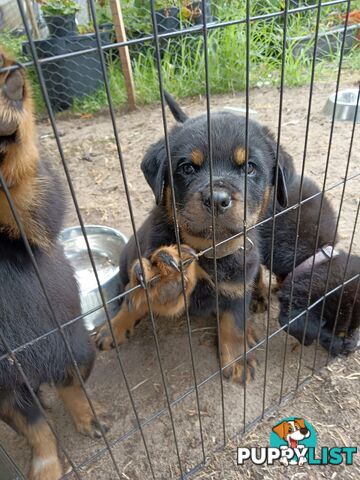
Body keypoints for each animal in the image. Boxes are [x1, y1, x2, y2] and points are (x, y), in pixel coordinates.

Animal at [0, 50, 109, 478]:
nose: (12, 73)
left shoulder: (33, 226)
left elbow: (24, 186)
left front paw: (9, 103)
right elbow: (36, 430)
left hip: (75, 345)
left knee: (70, 384)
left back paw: (91, 419)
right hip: (6, 389)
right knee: (35, 424)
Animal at [95, 90, 290, 382]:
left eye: (250, 168)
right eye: (187, 168)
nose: (217, 199)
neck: (206, 249)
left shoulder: (237, 285)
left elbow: (234, 323)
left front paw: (238, 360)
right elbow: (148, 298)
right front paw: (167, 279)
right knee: (130, 294)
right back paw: (113, 327)